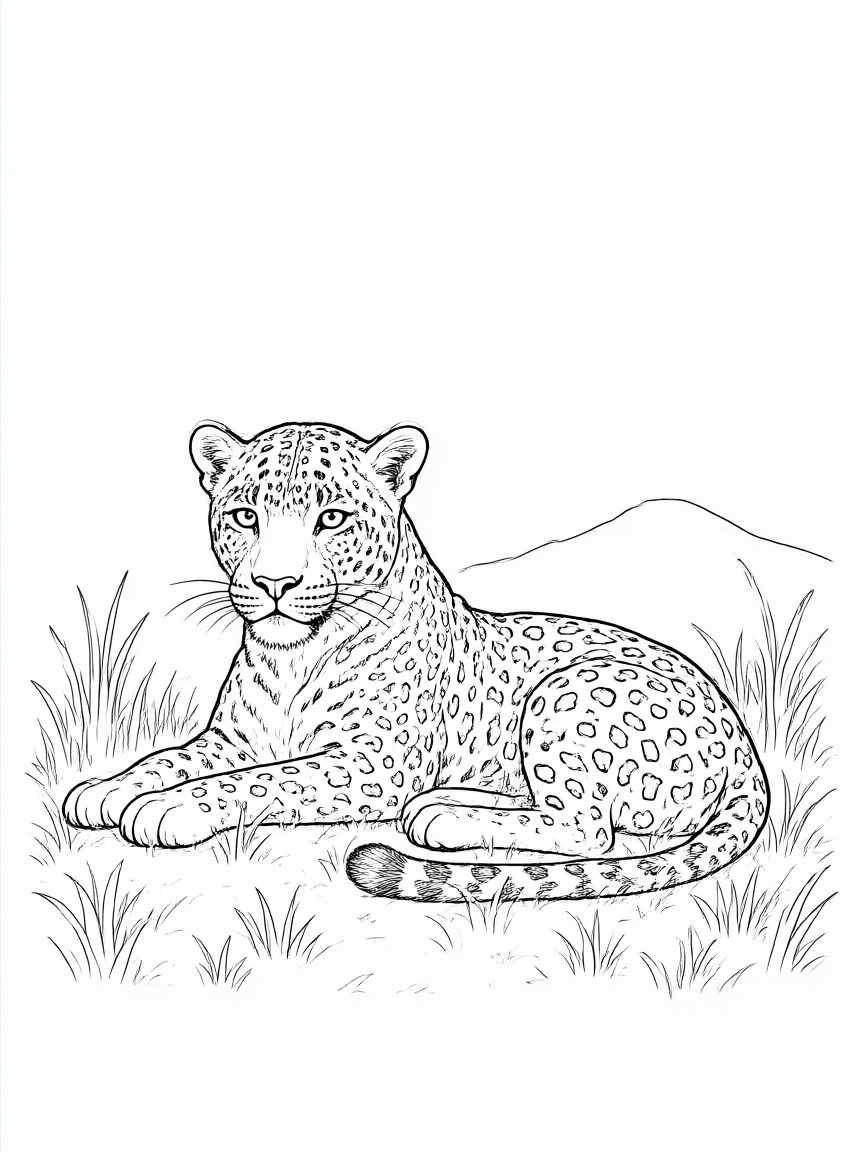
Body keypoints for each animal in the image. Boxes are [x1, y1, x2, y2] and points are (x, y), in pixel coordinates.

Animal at [63, 419, 769, 902]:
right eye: (244, 516)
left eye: (331, 518)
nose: (275, 583)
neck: (294, 656)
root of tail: (743, 743)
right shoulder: (234, 738)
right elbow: (169, 758)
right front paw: (105, 790)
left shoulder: (372, 766)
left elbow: (264, 782)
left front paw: (165, 809)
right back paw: (451, 799)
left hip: (569, 691)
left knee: (588, 829)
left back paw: (445, 817)